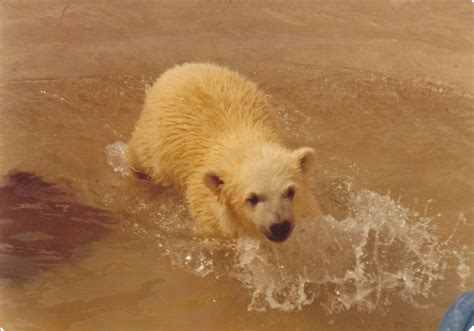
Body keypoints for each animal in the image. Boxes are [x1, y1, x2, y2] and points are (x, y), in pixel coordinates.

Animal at [128, 63, 316, 244]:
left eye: (290, 191)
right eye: (252, 198)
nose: (280, 226)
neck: (244, 145)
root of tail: (181, 67)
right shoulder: (208, 208)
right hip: (149, 142)